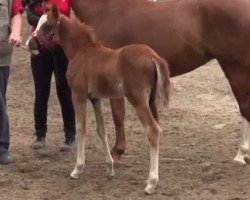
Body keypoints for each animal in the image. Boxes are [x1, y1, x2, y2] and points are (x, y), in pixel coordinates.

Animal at [25, 3, 170, 194]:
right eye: (38, 22)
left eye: (47, 26)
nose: (29, 43)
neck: (82, 52)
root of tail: (153, 57)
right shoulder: (96, 98)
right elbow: (102, 130)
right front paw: (110, 168)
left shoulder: (78, 95)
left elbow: (81, 128)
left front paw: (77, 169)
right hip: (151, 100)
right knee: (157, 129)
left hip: (138, 99)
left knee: (152, 130)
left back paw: (151, 183)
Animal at [72, 0, 250, 166]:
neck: (105, 9)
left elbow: (117, 114)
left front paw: (117, 152)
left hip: (236, 67)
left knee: (244, 107)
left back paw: (241, 154)